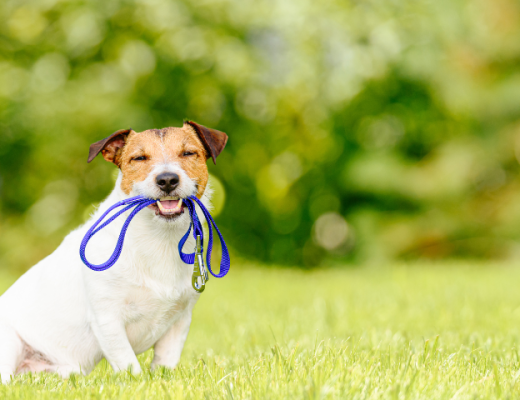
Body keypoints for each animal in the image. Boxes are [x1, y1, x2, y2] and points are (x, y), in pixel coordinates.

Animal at [0, 121, 230, 382]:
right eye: (139, 158)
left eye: (188, 153)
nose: (167, 180)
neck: (159, 240)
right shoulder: (107, 318)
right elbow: (128, 362)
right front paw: (137, 382)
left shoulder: (180, 319)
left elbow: (166, 361)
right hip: (9, 342)